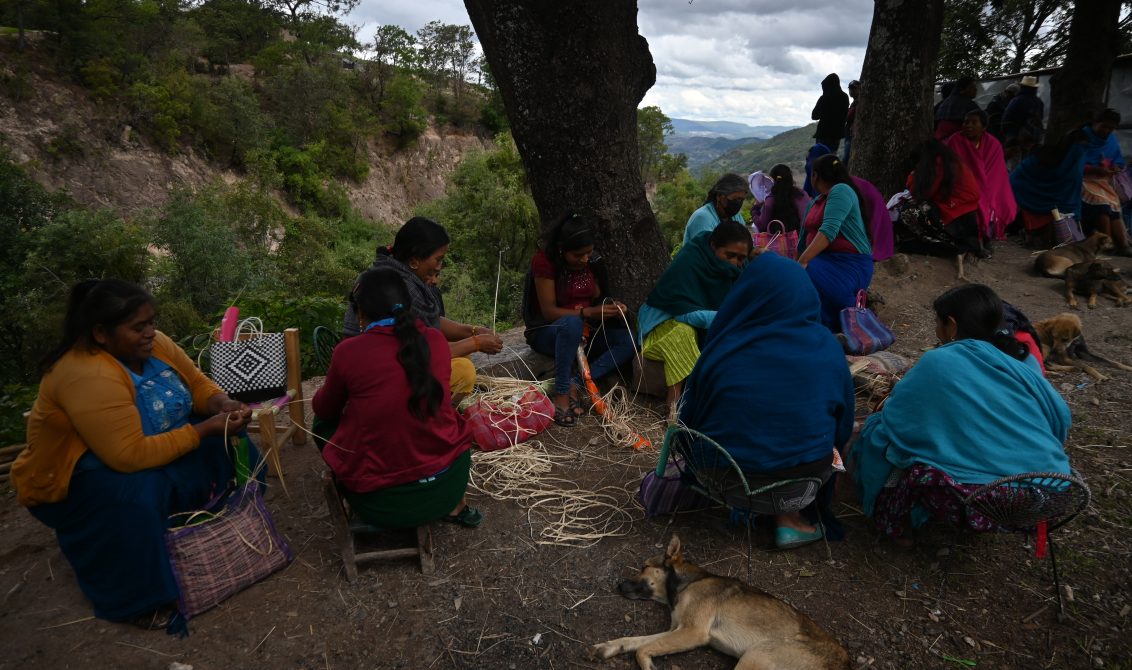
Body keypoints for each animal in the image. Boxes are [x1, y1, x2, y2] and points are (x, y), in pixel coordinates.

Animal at [593, 536, 851, 670]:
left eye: (643, 567)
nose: (618, 586)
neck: (688, 583)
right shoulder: (677, 630)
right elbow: (635, 641)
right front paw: (610, 646)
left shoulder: (693, 632)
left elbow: (642, 649)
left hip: (755, 655)